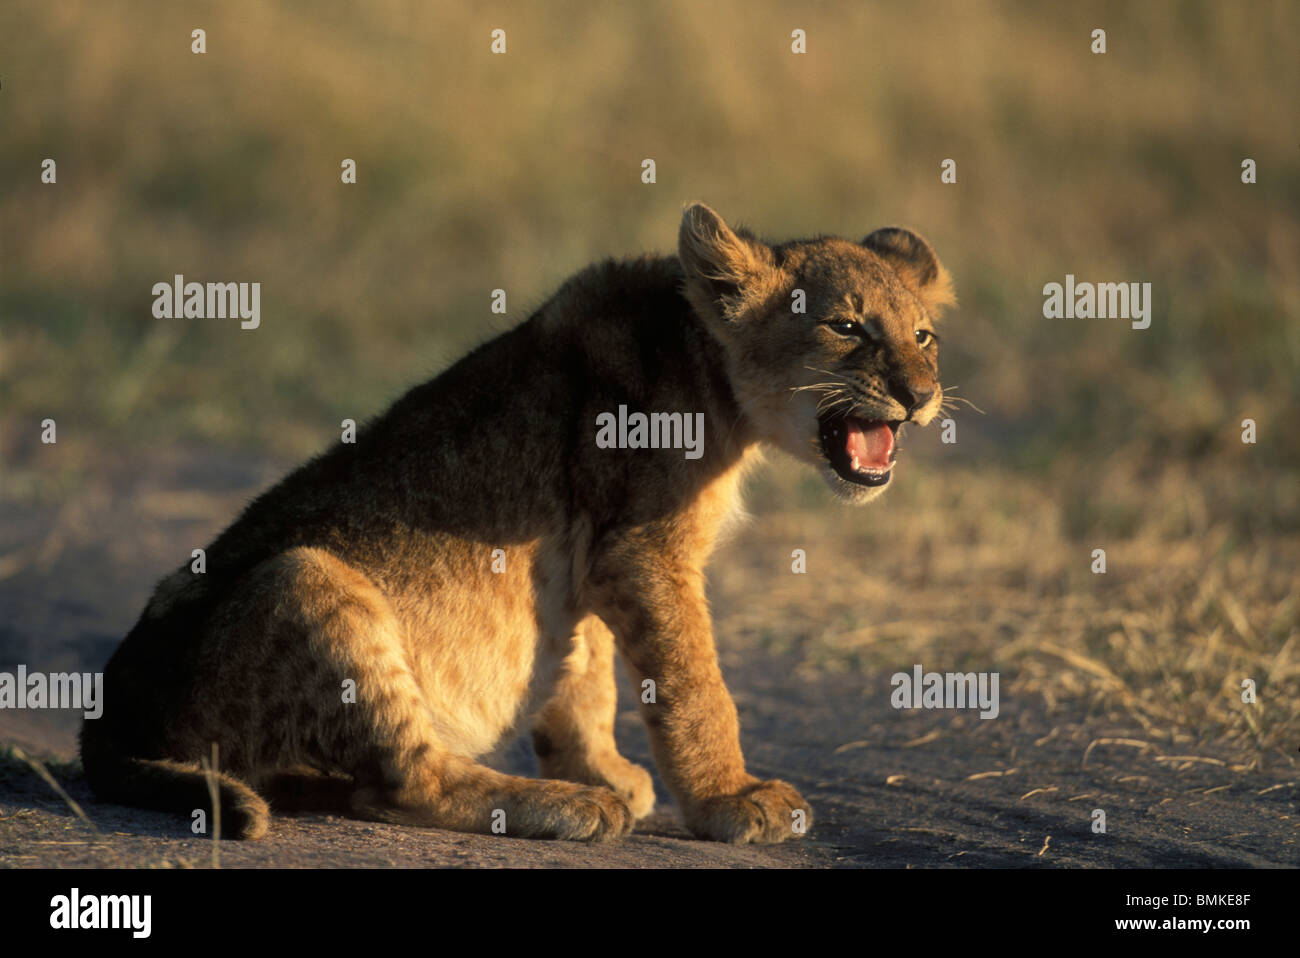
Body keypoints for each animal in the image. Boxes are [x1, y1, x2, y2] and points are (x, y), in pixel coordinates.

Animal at [80, 203, 954, 844]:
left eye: (924, 336)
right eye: (847, 327)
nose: (920, 396)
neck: (714, 374)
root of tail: (107, 717)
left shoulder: (594, 553)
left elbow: (587, 675)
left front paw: (600, 768)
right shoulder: (644, 549)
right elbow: (694, 686)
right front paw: (728, 800)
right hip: (309, 574)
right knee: (405, 783)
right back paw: (569, 809)